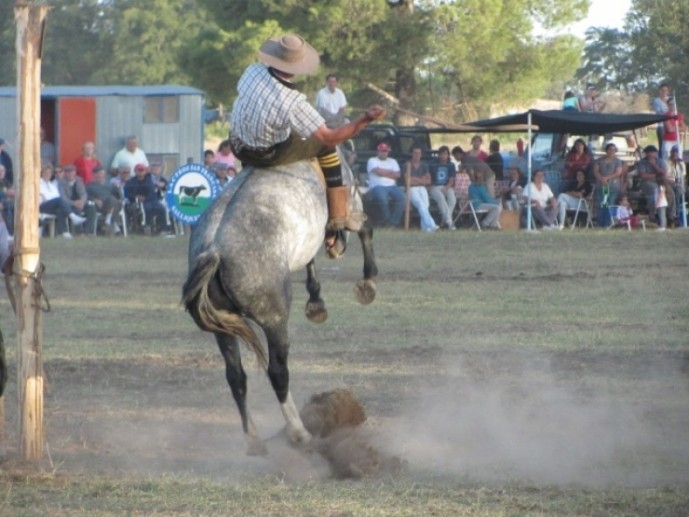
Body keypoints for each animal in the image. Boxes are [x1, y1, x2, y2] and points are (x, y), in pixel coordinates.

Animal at [183, 155, 376, 454]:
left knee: (236, 377)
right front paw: (368, 281)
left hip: (223, 331)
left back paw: (254, 441)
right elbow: (366, 229)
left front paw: (316, 302)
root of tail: (215, 251)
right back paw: (299, 433)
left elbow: (311, 260)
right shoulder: (351, 210)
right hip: (274, 320)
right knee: (278, 372)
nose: (337, 247)